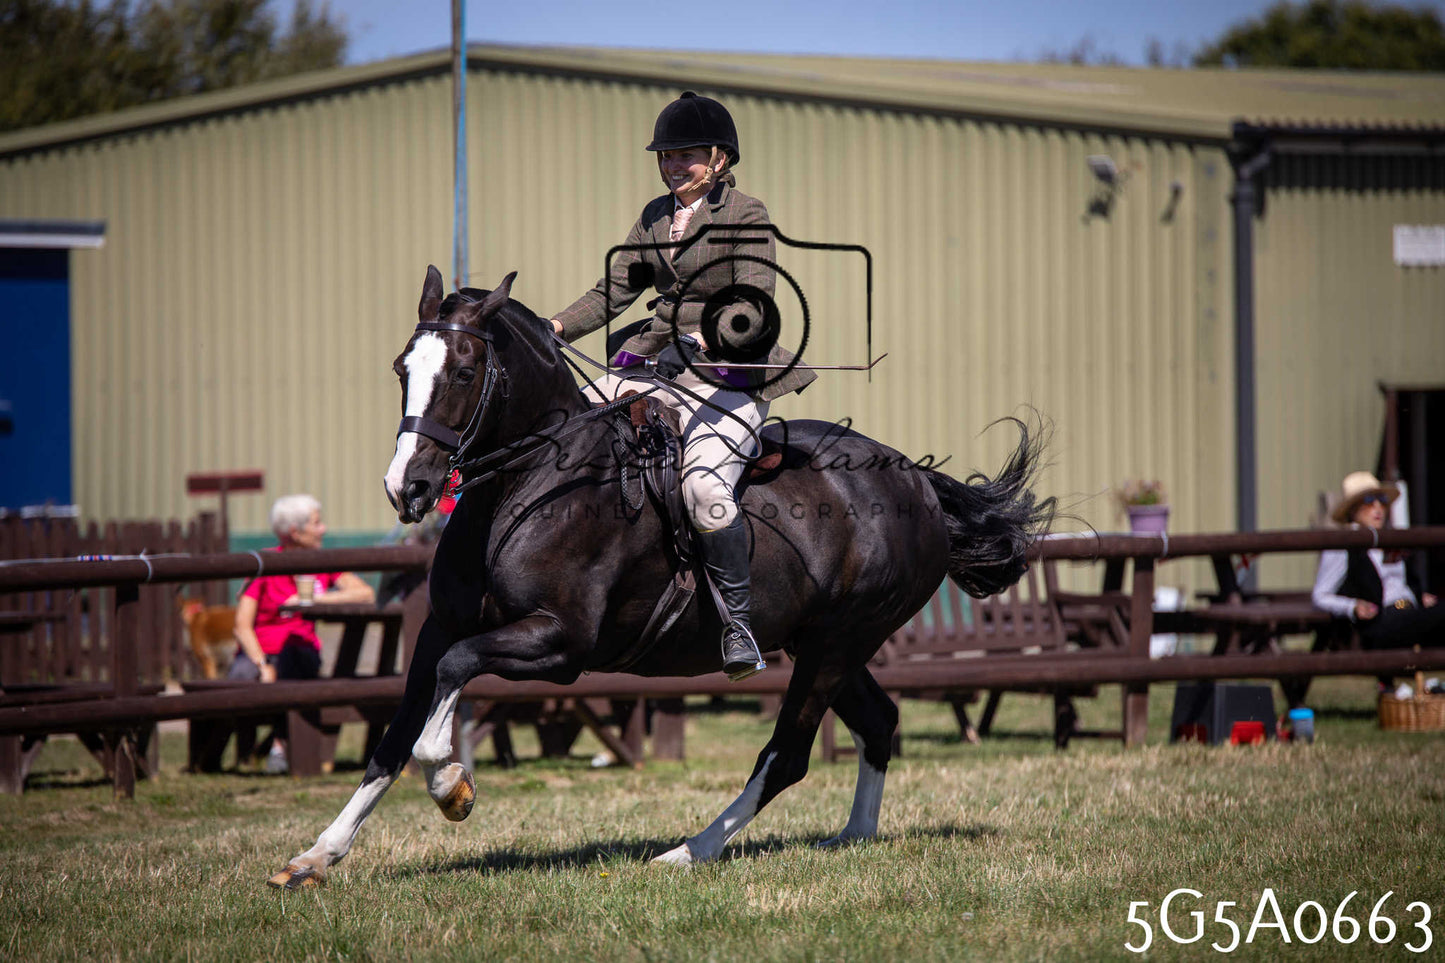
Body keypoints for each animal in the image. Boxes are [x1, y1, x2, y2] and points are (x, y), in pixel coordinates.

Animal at [269, 266, 1051, 888]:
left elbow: (449, 691)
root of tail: (915, 479)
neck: (530, 483)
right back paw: (852, 837)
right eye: (402, 369)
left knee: (788, 753)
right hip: (823, 643)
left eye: (463, 373)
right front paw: (316, 855)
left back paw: (689, 851)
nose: (409, 487)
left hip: (836, 644)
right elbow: (396, 731)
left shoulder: (558, 644)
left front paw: (453, 787)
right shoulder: (438, 630)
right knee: (878, 721)